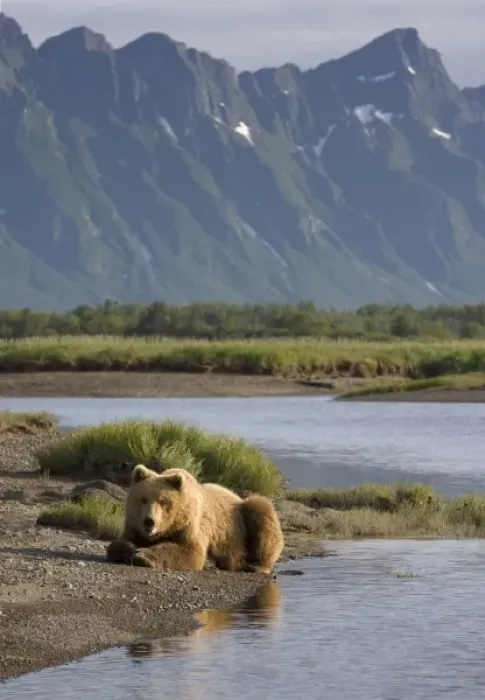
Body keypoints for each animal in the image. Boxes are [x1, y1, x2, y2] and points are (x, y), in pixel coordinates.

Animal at [106, 464, 284, 575]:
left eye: (163, 501)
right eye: (142, 499)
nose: (149, 521)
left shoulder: (191, 525)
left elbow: (189, 551)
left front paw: (142, 556)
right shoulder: (134, 526)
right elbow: (118, 542)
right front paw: (128, 548)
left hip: (244, 515)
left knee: (261, 510)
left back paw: (255, 565)